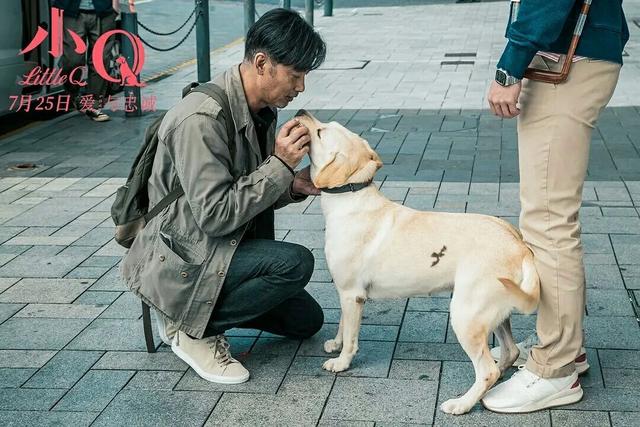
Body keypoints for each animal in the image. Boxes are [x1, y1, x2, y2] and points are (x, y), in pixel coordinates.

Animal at [296, 109, 540, 414]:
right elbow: (342, 324)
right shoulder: (346, 293)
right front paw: (335, 344)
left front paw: (342, 362)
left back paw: (462, 404)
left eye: (320, 132)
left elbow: (351, 336)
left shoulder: (352, 294)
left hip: (466, 314)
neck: (351, 196)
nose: (300, 111)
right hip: (496, 312)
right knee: (510, 352)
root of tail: (520, 246)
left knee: (487, 370)